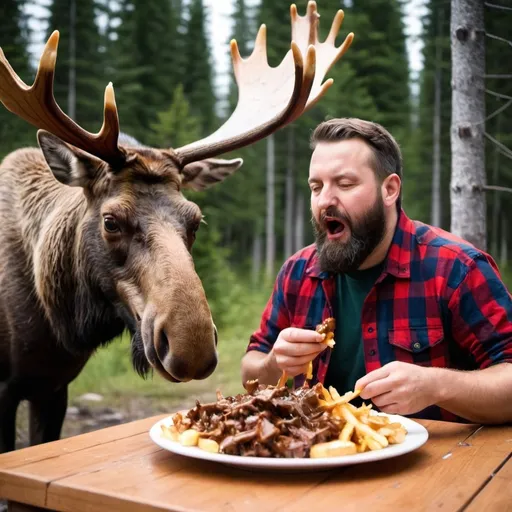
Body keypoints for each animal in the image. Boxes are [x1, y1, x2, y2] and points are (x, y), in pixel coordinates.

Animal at [0, 2, 352, 454]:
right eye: (110, 221)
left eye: (196, 219)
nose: (192, 348)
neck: (57, 322)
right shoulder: (10, 387)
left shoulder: (52, 386)